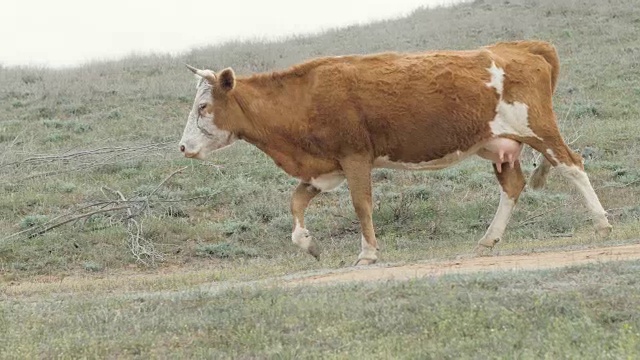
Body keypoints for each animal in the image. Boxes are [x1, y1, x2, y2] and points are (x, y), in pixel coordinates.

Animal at [179, 40, 608, 264]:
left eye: (203, 106)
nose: (182, 147)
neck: (303, 98)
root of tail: (521, 47)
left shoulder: (355, 158)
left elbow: (361, 205)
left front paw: (368, 253)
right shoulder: (324, 167)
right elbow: (296, 202)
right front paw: (310, 244)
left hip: (539, 130)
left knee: (573, 165)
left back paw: (602, 223)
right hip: (500, 146)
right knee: (513, 186)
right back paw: (489, 239)